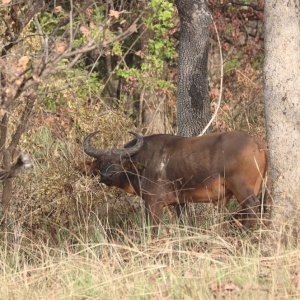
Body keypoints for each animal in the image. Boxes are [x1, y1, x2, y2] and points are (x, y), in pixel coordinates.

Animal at [81, 131, 268, 227]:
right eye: (102, 162)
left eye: (120, 161)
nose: (107, 176)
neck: (143, 163)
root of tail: (258, 144)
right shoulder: (180, 203)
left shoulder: (153, 203)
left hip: (243, 191)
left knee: (252, 209)